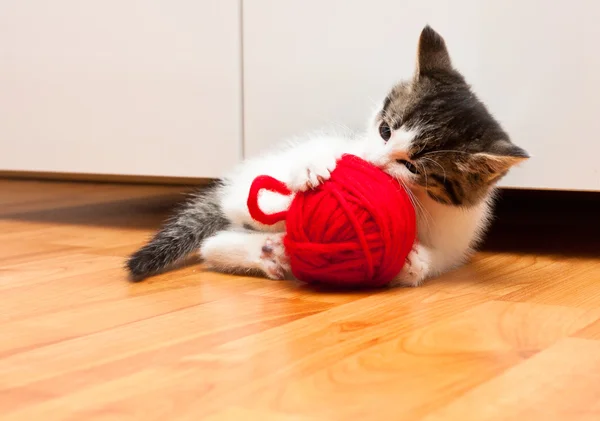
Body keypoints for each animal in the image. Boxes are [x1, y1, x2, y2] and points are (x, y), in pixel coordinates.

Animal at [125, 26, 524, 288]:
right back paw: (276, 205)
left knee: (215, 242)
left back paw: (270, 252)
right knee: (240, 203)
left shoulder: (459, 235)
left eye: (412, 166)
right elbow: (328, 152)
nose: (374, 163)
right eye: (385, 130)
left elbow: (441, 258)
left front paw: (416, 261)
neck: (421, 201)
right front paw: (312, 167)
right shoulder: (351, 143)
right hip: (256, 180)